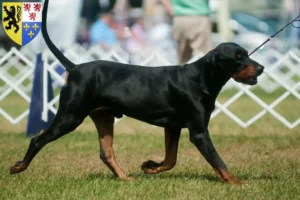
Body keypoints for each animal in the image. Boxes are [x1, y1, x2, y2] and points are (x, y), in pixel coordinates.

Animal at [9, 0, 264, 184]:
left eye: (247, 53)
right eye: (237, 58)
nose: (261, 68)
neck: (201, 78)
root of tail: (75, 67)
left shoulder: (173, 127)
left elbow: (171, 159)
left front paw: (150, 167)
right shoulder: (198, 132)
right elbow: (218, 161)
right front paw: (237, 182)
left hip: (103, 116)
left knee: (106, 153)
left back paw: (124, 178)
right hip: (70, 116)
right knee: (37, 139)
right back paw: (19, 166)